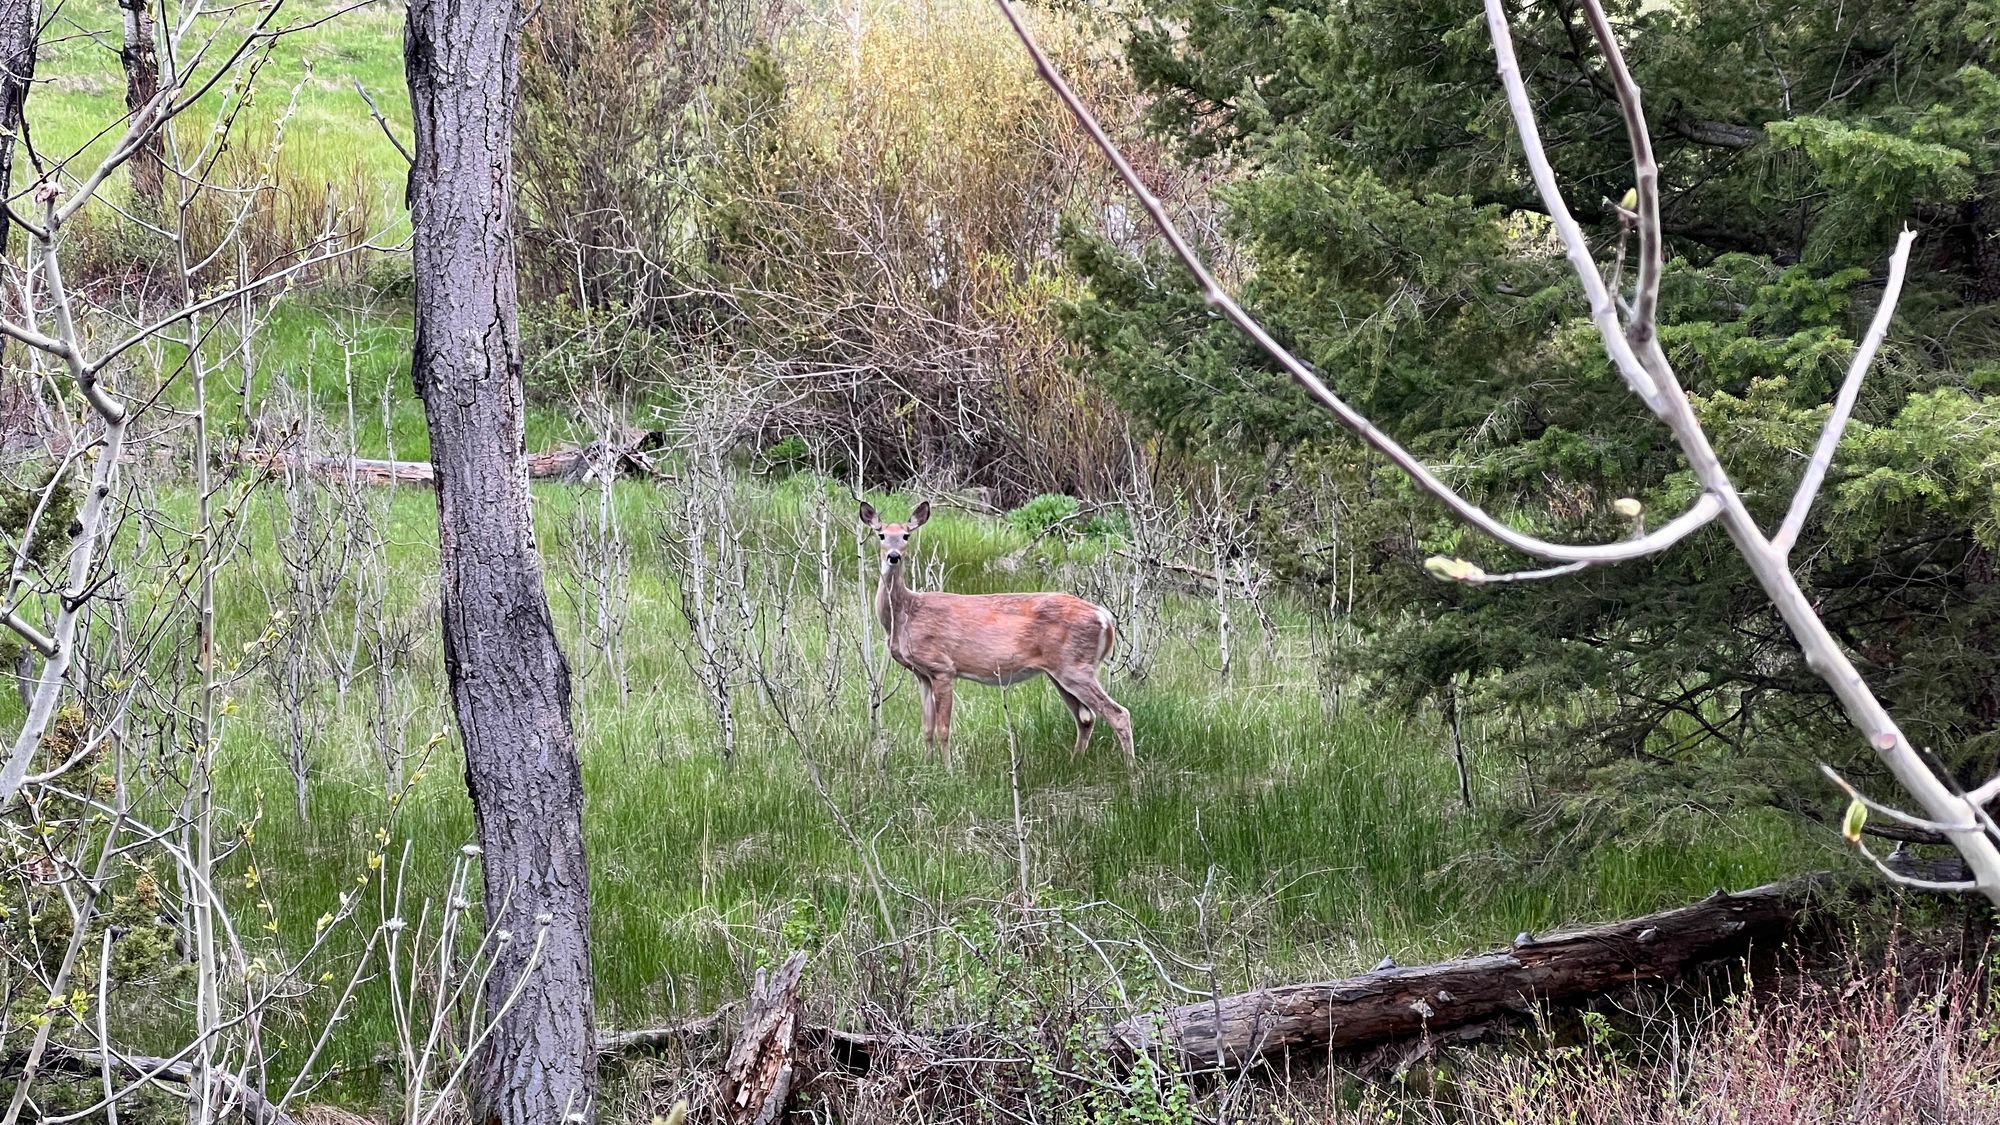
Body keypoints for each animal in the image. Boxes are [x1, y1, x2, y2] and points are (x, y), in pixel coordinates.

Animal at [864, 498, 1144, 760]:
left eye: (906, 535)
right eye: (881, 534)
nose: (893, 556)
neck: (906, 615)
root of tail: (1105, 618)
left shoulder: (943, 667)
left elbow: (944, 729)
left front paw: (948, 770)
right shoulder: (922, 673)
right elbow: (927, 728)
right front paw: (929, 765)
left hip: (1076, 667)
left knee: (1118, 714)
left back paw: (1132, 771)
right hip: (1061, 672)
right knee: (1086, 718)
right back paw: (1076, 762)